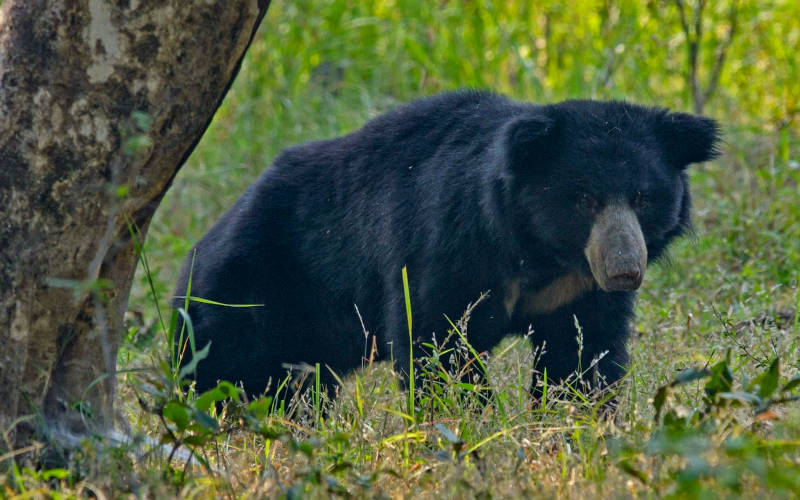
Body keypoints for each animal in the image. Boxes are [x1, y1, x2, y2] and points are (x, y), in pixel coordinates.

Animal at [173, 90, 720, 400]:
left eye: (642, 198)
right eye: (585, 199)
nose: (624, 269)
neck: (540, 254)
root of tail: (196, 255)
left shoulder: (576, 291)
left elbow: (582, 358)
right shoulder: (448, 244)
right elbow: (436, 345)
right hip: (250, 296)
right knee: (231, 378)